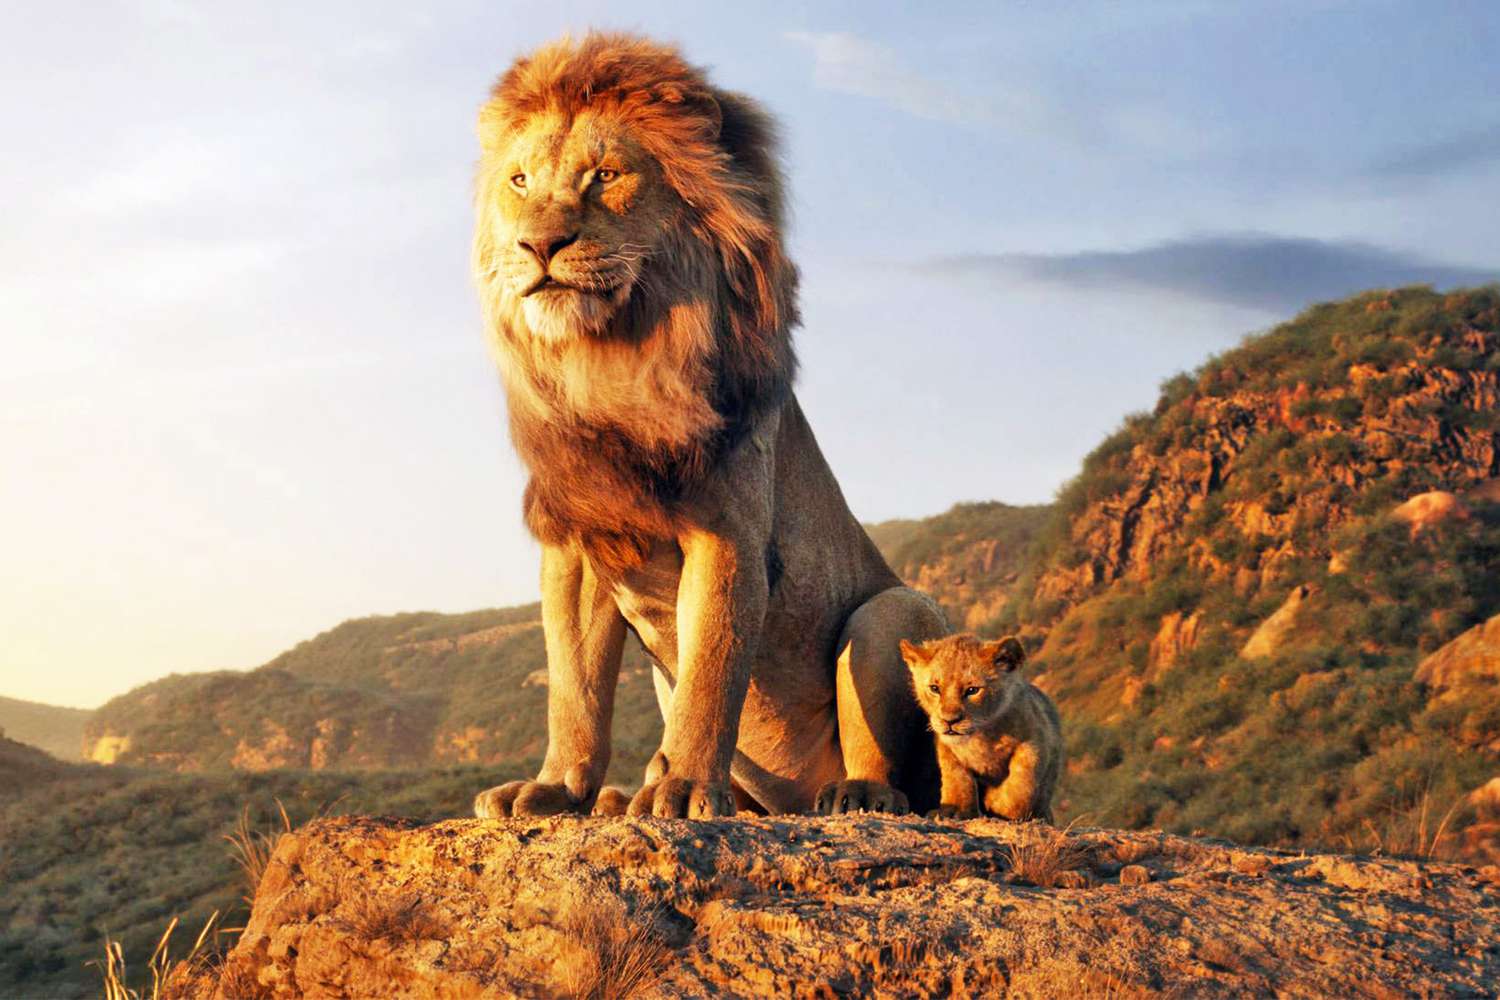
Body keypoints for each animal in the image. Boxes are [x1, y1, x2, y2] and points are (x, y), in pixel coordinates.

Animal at [470, 33, 947, 819]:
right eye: (519, 181)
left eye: (605, 175)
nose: (539, 245)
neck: (611, 363)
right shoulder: (578, 543)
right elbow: (574, 687)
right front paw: (556, 788)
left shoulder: (728, 533)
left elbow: (711, 672)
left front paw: (686, 787)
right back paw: (622, 797)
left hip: (891, 611)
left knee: (896, 772)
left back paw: (853, 794)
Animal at [899, 634, 1063, 822]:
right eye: (934, 688)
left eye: (972, 690)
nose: (949, 721)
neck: (982, 735)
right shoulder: (947, 749)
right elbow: (957, 779)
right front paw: (954, 810)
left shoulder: (1035, 741)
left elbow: (1022, 783)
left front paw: (998, 803)